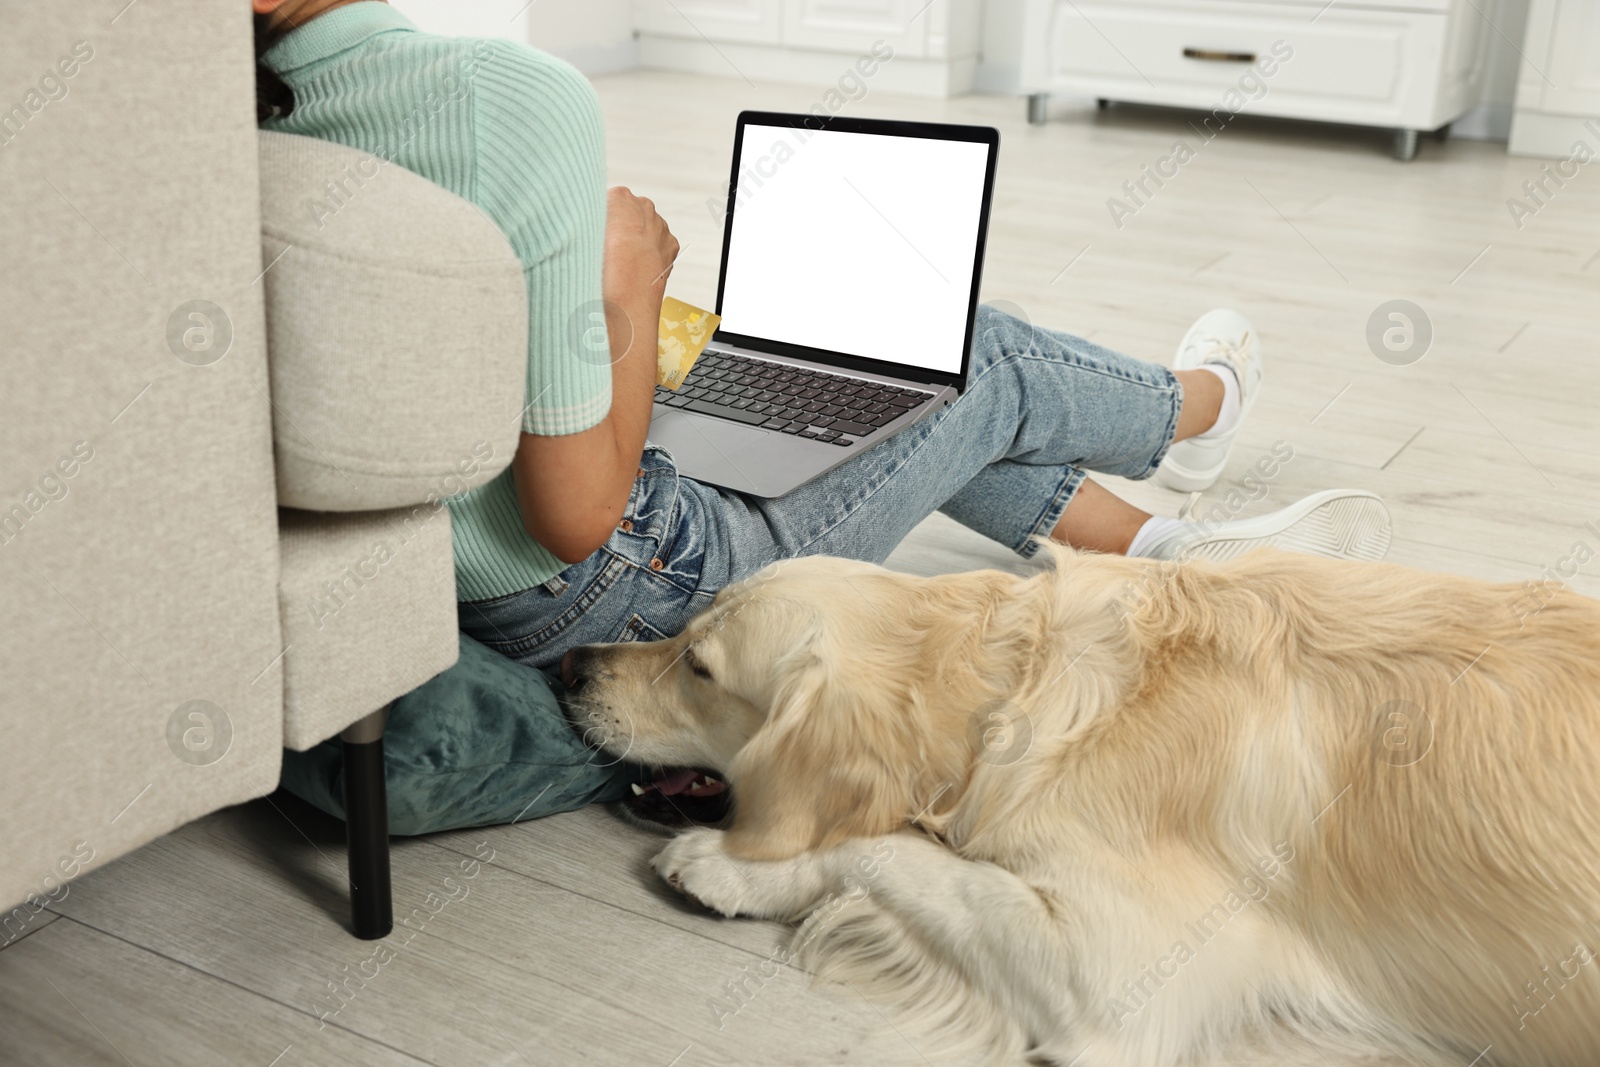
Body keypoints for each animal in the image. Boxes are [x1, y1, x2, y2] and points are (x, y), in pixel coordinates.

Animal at [560, 550, 1600, 1067]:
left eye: (699, 668)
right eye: (688, 626)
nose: (568, 665)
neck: (1022, 682)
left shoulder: (1120, 976)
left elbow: (906, 853)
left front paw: (732, 860)